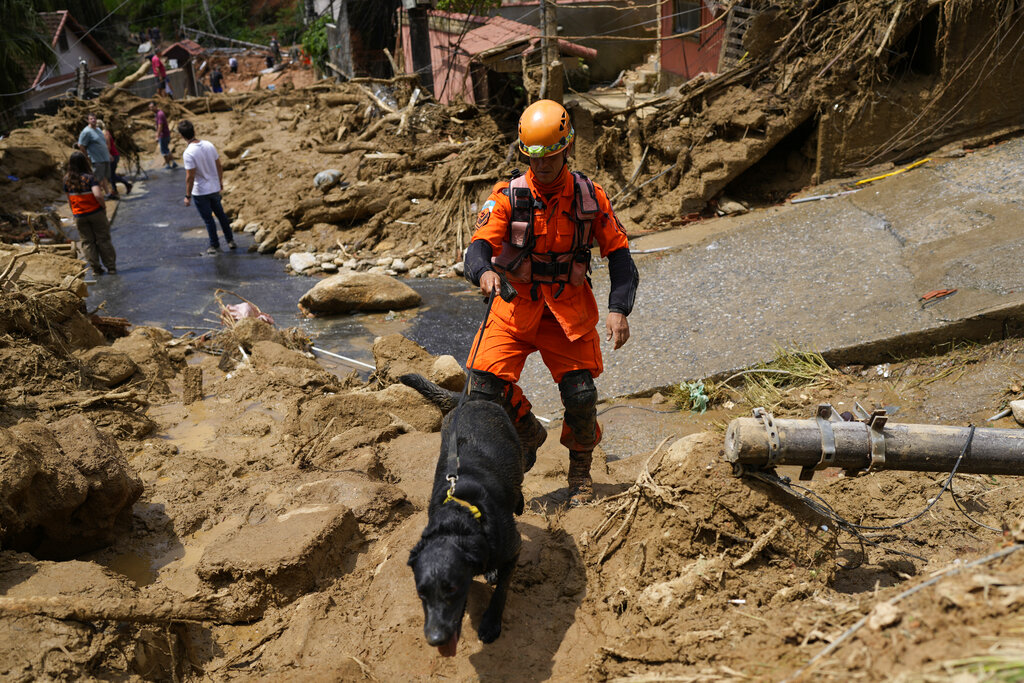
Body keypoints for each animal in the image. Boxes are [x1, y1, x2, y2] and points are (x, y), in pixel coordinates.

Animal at [401, 374, 528, 655]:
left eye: (452, 589)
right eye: (421, 593)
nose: (435, 639)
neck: (458, 519)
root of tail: (472, 399)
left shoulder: (513, 548)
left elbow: (502, 589)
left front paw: (491, 623)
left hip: (516, 449)